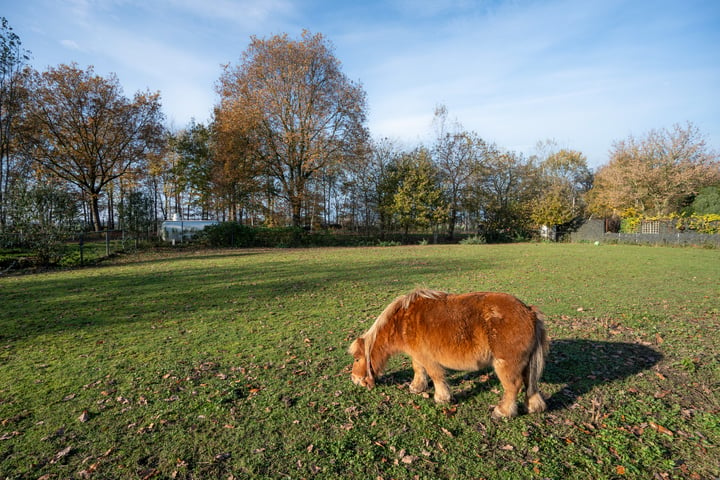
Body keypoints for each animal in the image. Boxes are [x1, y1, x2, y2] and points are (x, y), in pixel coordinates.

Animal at [352, 286, 548, 418]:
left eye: (357, 359)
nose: (354, 379)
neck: (403, 320)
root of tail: (529, 312)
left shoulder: (427, 357)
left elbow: (435, 375)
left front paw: (441, 398)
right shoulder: (417, 355)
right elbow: (418, 369)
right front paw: (417, 387)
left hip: (506, 364)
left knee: (513, 386)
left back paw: (502, 411)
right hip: (526, 364)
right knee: (530, 383)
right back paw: (533, 407)